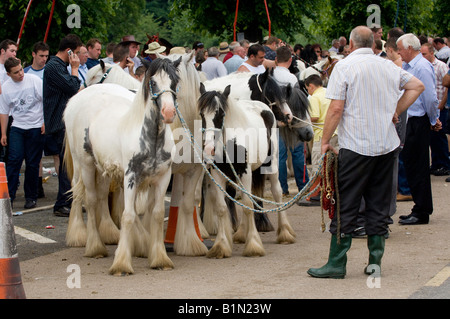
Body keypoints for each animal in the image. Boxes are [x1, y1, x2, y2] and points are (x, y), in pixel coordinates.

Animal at [62, 58, 181, 276]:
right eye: (153, 82)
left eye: (175, 81)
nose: (168, 113)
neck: (151, 138)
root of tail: (76, 99)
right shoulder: (130, 177)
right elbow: (128, 215)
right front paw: (122, 264)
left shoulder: (162, 178)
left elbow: (157, 214)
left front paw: (159, 258)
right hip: (85, 165)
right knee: (88, 199)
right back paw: (92, 245)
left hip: (103, 169)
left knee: (101, 196)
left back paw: (108, 234)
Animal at [197, 85, 296, 260]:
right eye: (202, 114)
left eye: (220, 113)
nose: (208, 149)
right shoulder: (217, 174)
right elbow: (222, 208)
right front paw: (221, 246)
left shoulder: (245, 172)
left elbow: (248, 205)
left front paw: (253, 245)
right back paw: (242, 233)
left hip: (271, 166)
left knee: (277, 193)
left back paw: (284, 233)